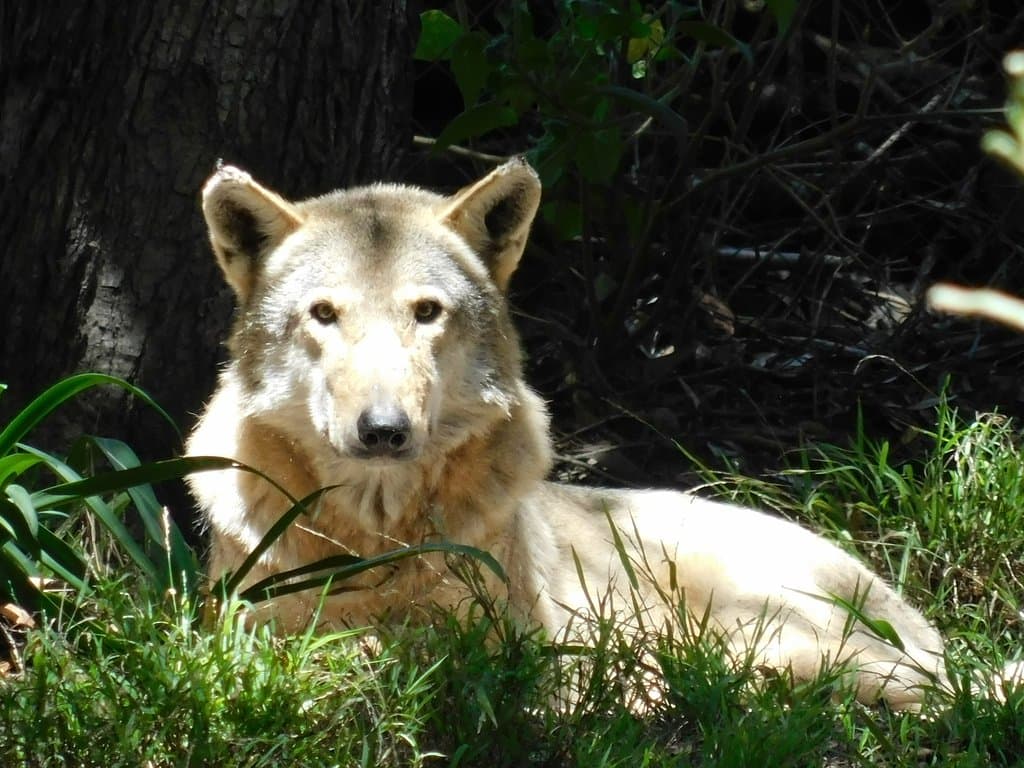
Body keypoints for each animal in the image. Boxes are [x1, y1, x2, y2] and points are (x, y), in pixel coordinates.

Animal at [188, 159, 964, 710]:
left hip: (764, 629)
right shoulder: (239, 627)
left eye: (426, 312)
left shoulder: (509, 648)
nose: (384, 430)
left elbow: (403, 648)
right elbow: (330, 642)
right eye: (323, 314)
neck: (376, 534)